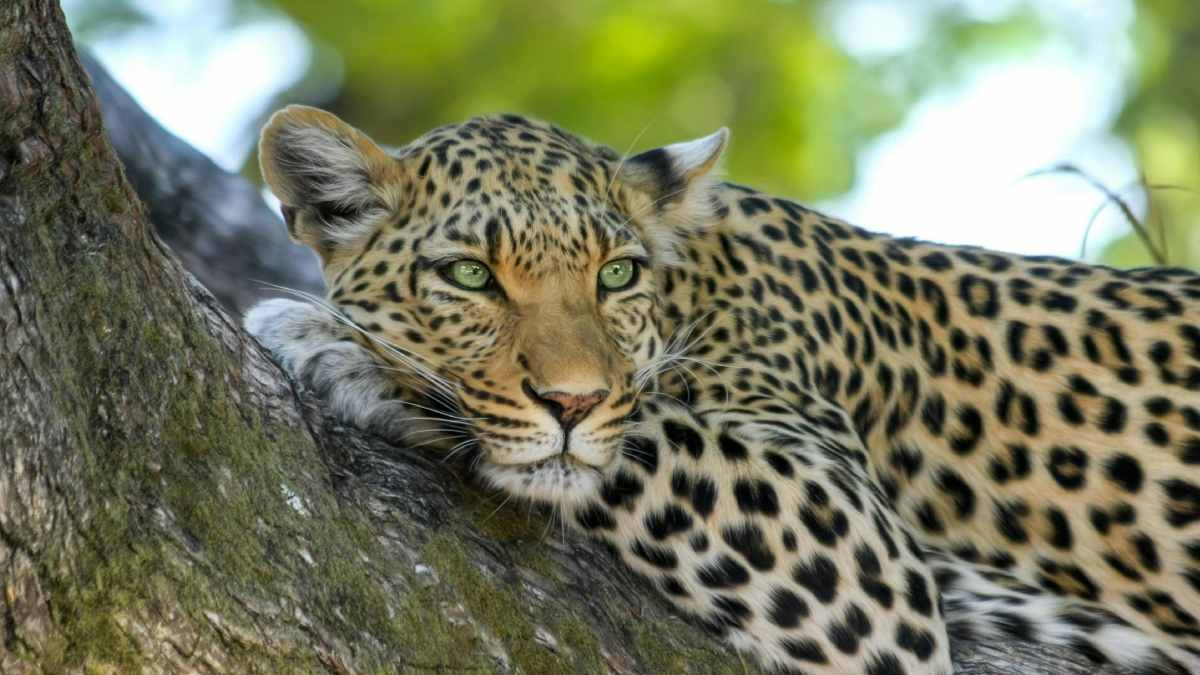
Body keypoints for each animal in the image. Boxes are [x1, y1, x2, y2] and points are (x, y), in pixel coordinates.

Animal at [244, 104, 1200, 674]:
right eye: (471, 275)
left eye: (617, 274)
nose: (573, 402)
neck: (694, 283)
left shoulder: (856, 548)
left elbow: (648, 432)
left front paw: (340, 347)